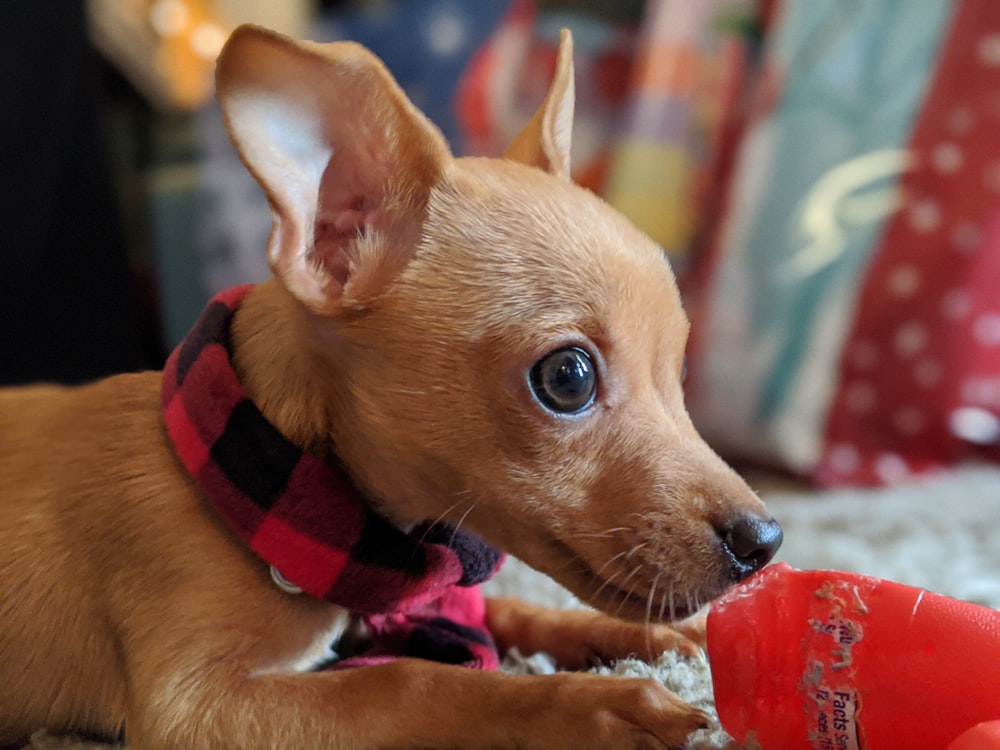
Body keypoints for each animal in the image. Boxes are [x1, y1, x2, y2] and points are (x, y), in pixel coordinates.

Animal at [0, 26, 780, 750]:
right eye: (567, 378)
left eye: (679, 372)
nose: (767, 542)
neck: (257, 478)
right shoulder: (199, 709)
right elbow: (413, 683)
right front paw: (599, 703)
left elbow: (509, 611)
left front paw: (648, 642)